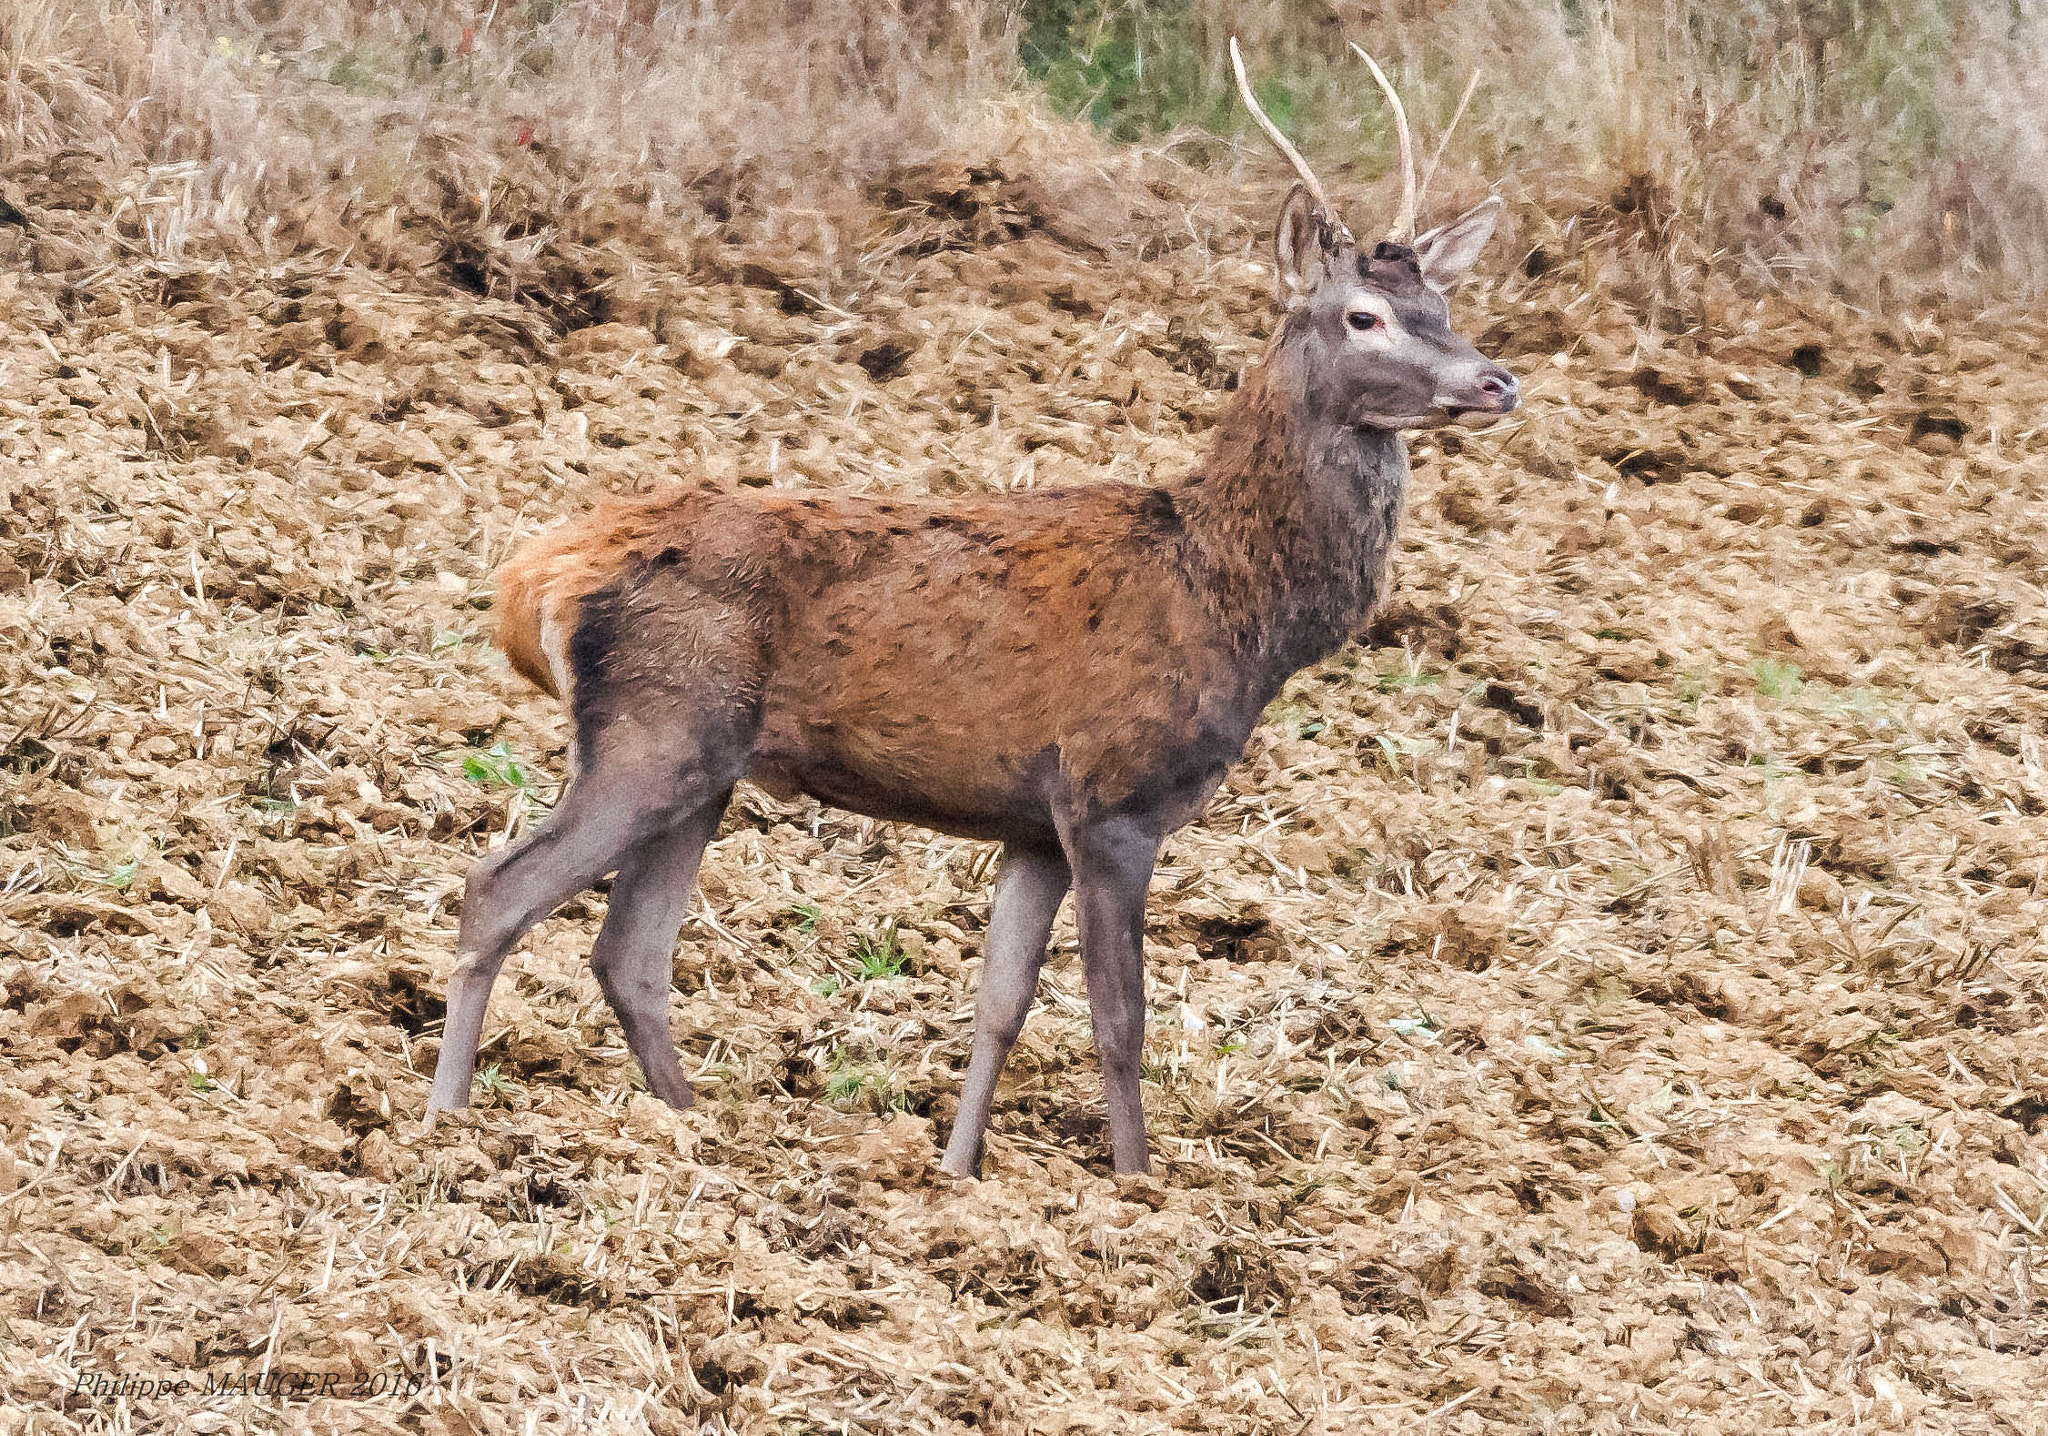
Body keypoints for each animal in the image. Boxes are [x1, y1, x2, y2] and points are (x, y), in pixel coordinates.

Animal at [424, 39, 1517, 1177]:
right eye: (1364, 315)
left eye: (1444, 310)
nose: (1494, 382)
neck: (1236, 607)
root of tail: (531, 580)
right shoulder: (1111, 797)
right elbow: (1118, 1020)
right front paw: (1137, 1186)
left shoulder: (1032, 822)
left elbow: (1000, 1005)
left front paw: (957, 1171)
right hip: (653, 727)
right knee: (496, 887)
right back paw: (446, 1120)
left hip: (703, 764)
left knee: (629, 951)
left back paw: (698, 1131)